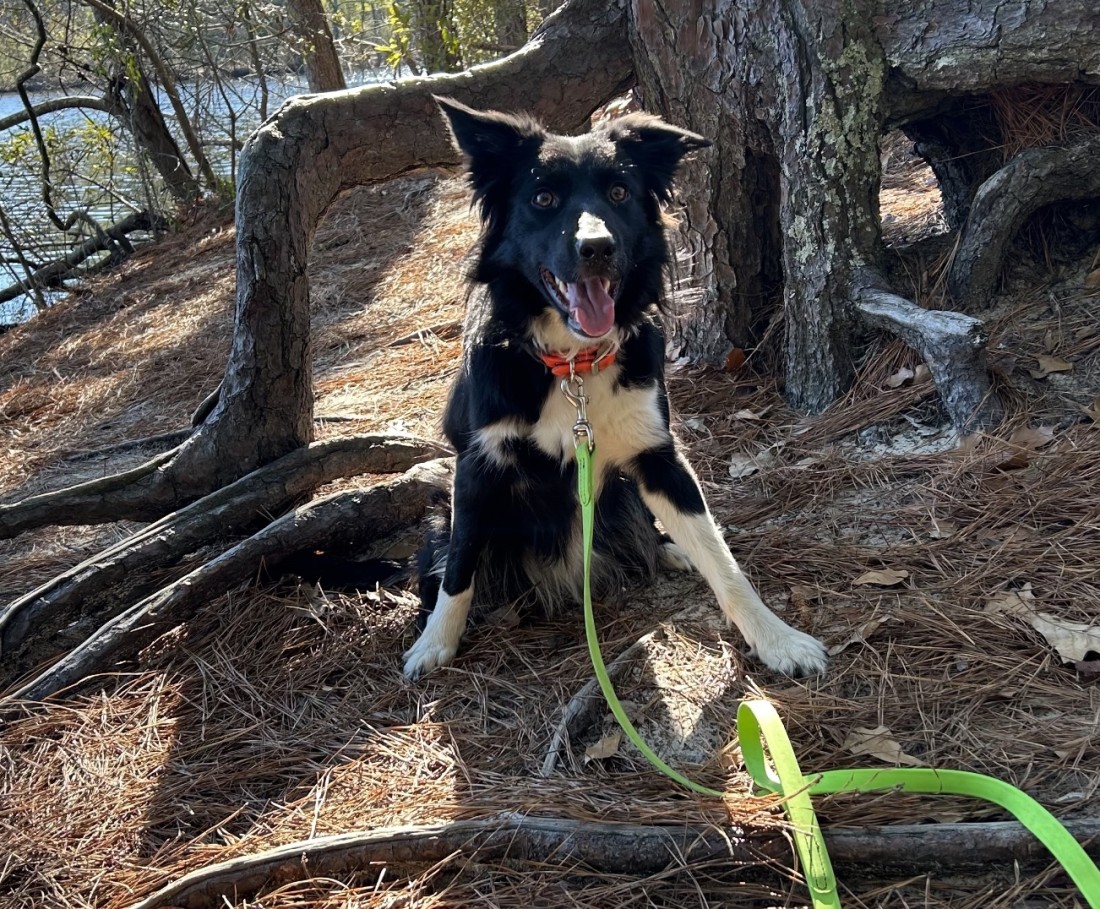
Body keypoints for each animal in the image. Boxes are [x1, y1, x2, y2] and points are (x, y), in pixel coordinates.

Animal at [404, 100, 827, 677]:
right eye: (543, 198)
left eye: (620, 193)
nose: (597, 248)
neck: (571, 364)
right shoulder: (476, 466)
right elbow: (460, 567)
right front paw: (435, 643)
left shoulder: (658, 455)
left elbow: (723, 559)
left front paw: (777, 638)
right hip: (439, 503)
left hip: (624, 487)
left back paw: (668, 548)